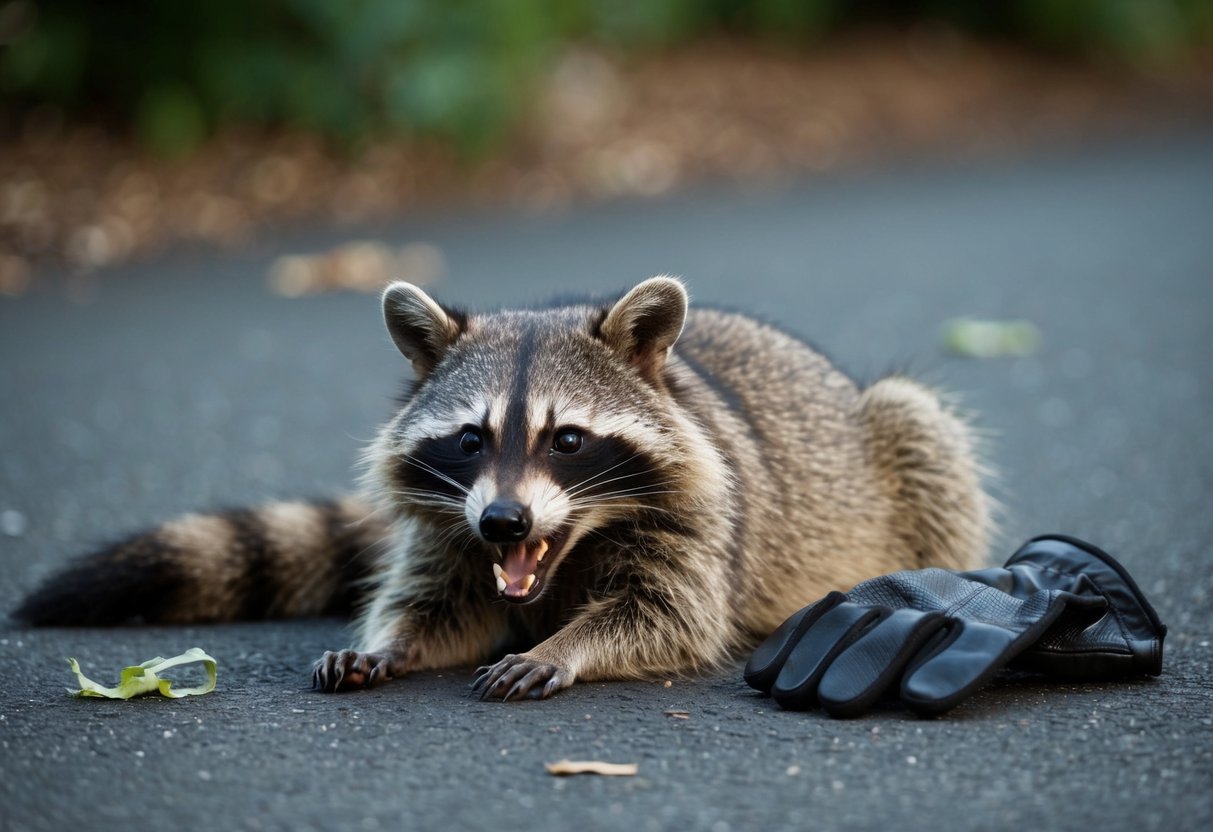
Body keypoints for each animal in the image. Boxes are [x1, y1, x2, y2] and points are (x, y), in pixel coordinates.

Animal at [15, 276, 991, 700]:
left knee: (920, 431)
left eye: (568, 440)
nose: (503, 521)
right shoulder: (445, 526)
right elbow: (436, 603)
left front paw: (570, 644)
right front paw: (390, 642)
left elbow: (667, 615)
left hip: (888, 431)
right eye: (470, 438)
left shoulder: (704, 522)